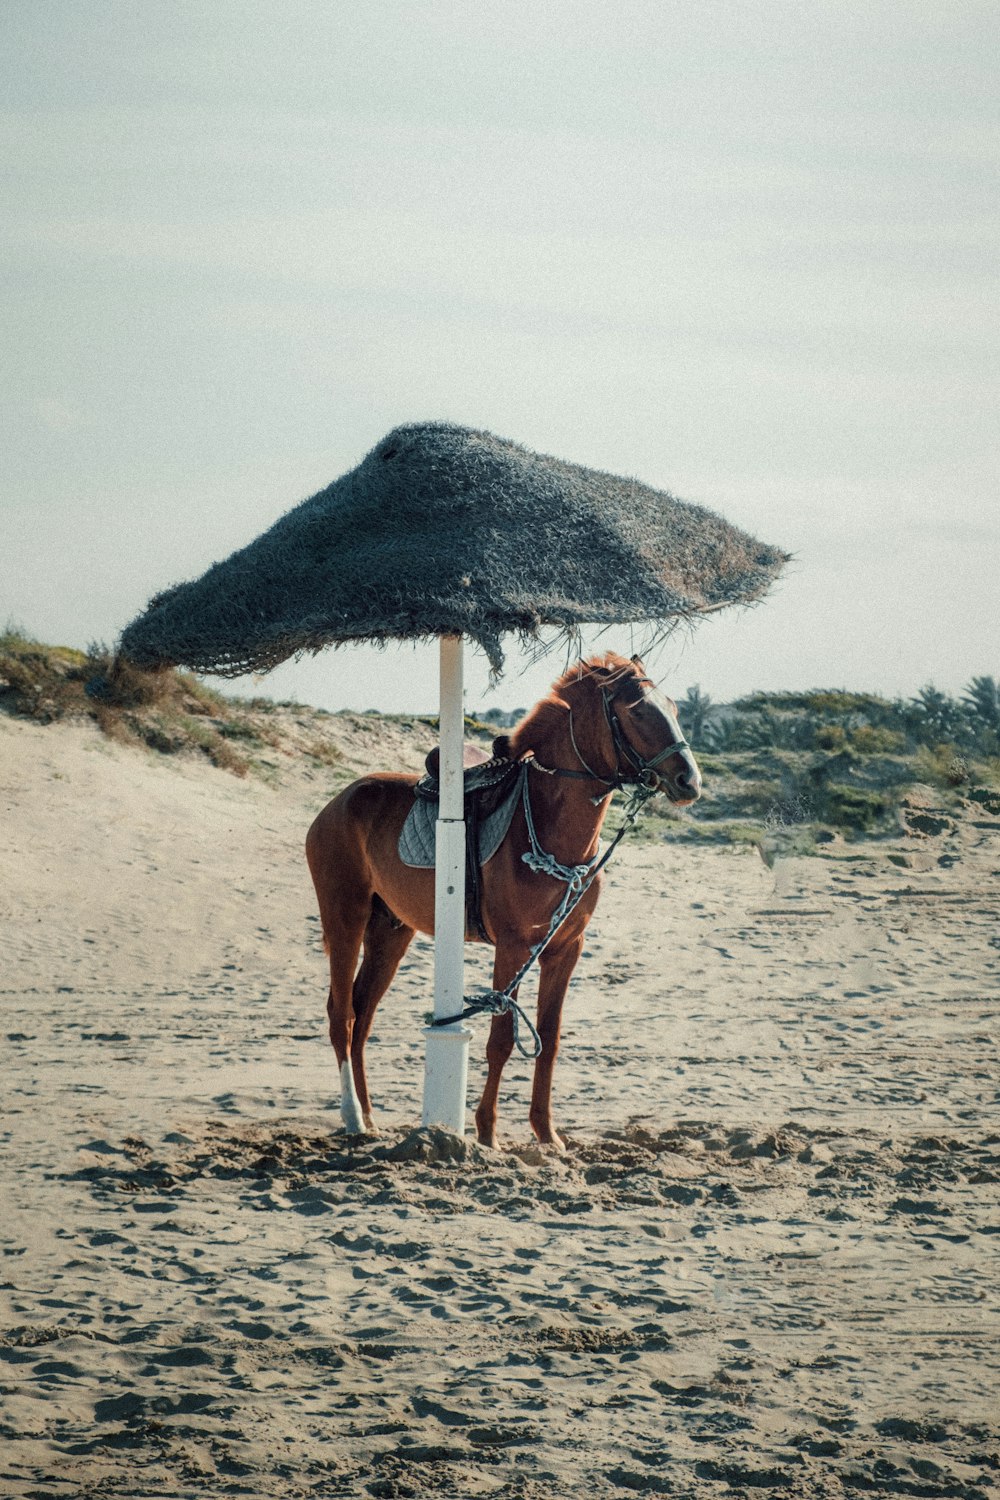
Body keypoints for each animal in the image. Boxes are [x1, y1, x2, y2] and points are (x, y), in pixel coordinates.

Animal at [305, 651, 704, 1152]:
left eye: (672, 706)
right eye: (636, 712)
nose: (690, 780)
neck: (550, 828)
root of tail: (337, 802)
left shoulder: (563, 951)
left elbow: (548, 1040)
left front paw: (547, 1135)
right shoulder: (512, 948)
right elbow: (500, 1039)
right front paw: (488, 1133)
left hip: (390, 934)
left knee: (363, 1016)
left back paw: (371, 1117)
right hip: (345, 920)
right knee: (341, 1014)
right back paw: (354, 1117)